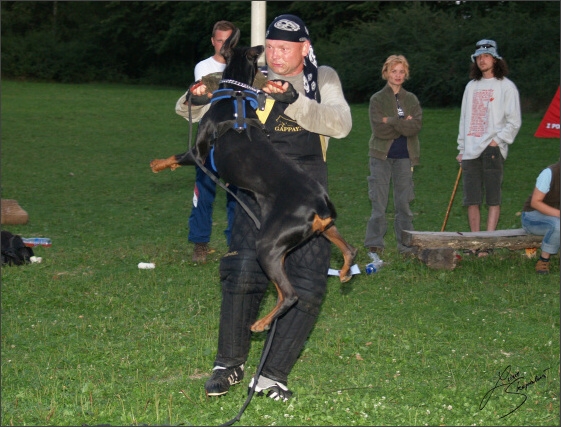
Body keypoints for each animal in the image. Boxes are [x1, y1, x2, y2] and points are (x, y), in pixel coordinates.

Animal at [151, 29, 356, 334]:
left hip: (269, 245)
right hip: (323, 229)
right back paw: (343, 272)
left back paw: (261, 323)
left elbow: (178, 155)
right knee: (349, 250)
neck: (235, 96)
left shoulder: (199, 153)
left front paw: (157, 164)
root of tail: (320, 205)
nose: (194, 88)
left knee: (290, 295)